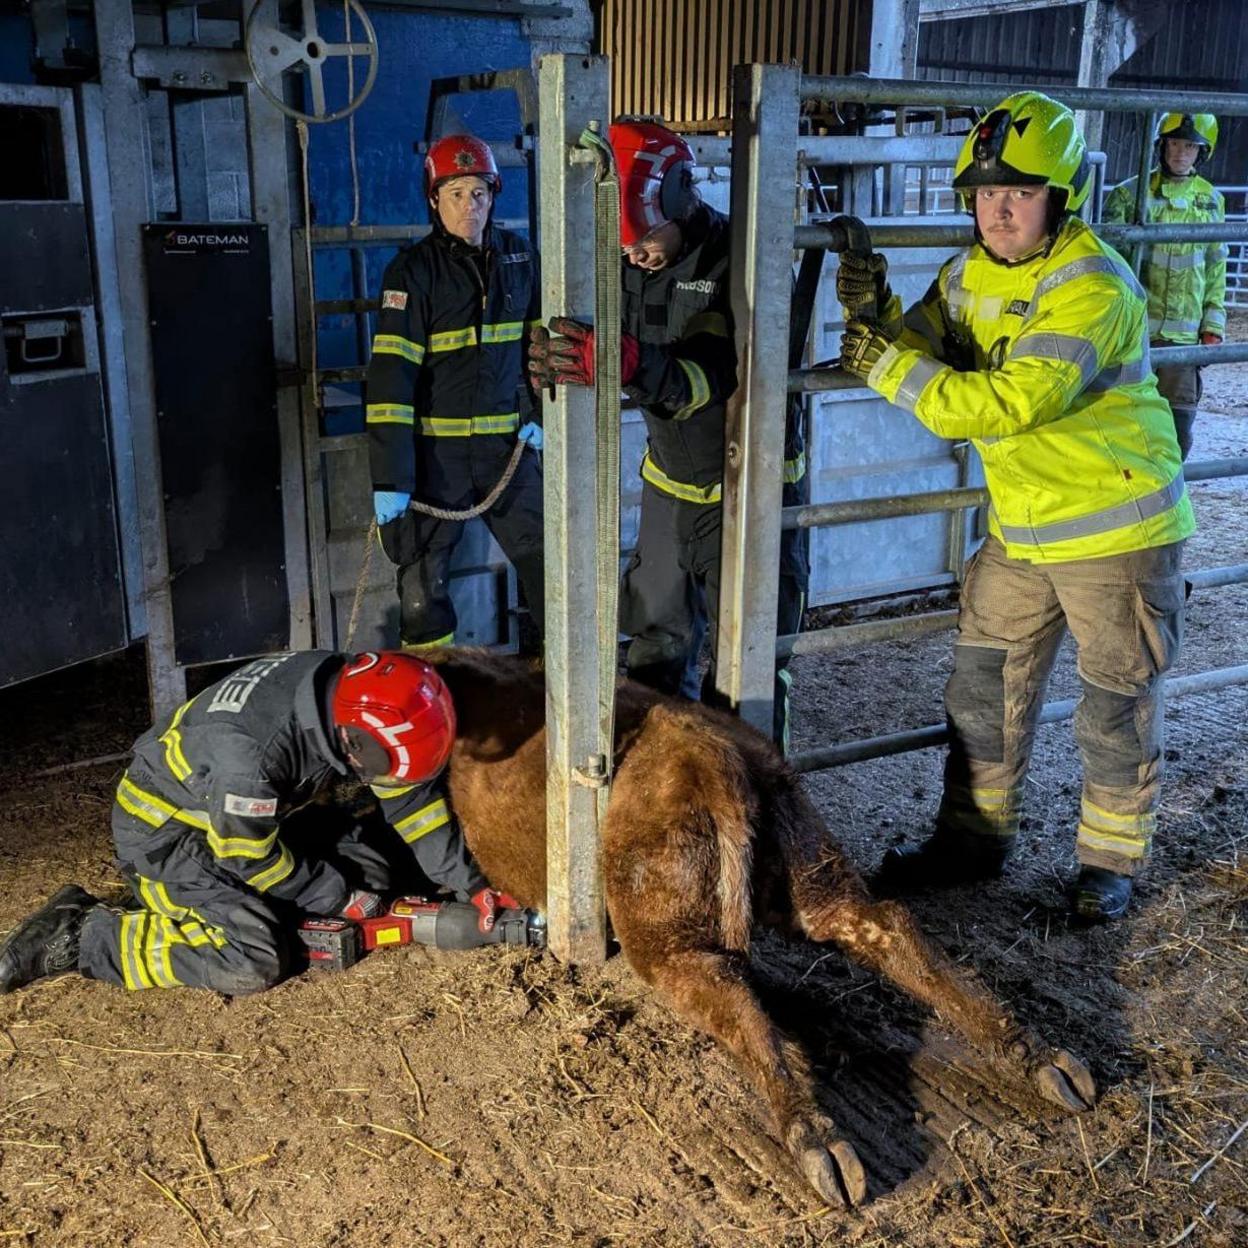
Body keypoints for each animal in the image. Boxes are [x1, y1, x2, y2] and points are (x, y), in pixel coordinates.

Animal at [431, 643, 1093, 1208]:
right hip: (812, 865)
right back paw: (1047, 1064)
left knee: (724, 989)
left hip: (663, 931)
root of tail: (716, 753)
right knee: (884, 925)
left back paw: (822, 1150)